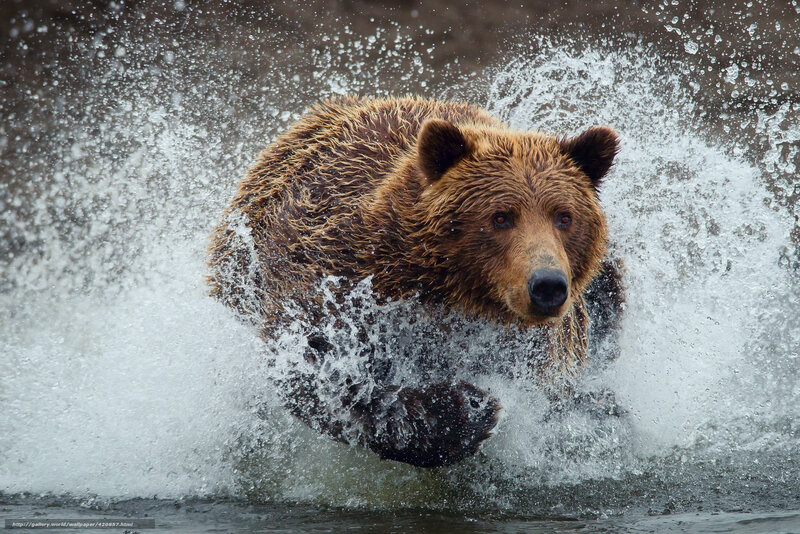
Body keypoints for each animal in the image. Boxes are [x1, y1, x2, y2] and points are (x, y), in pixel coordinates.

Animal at [208, 96, 623, 468]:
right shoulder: (338, 274)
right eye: (501, 216)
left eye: (564, 216)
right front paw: (464, 409)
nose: (547, 285)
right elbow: (318, 365)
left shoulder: (538, 346)